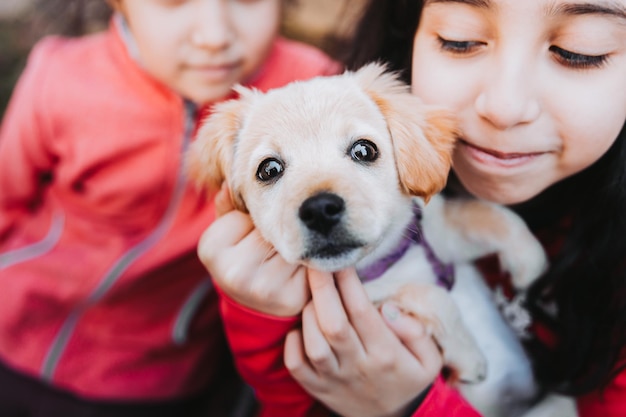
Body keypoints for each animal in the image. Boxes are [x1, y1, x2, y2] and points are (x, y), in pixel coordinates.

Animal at [188, 62, 552, 416]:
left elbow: (490, 215)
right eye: (269, 169)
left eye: (364, 150)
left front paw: (530, 265)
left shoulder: (436, 233)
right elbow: (430, 296)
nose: (320, 210)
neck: (379, 262)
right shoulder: (374, 307)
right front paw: (469, 356)